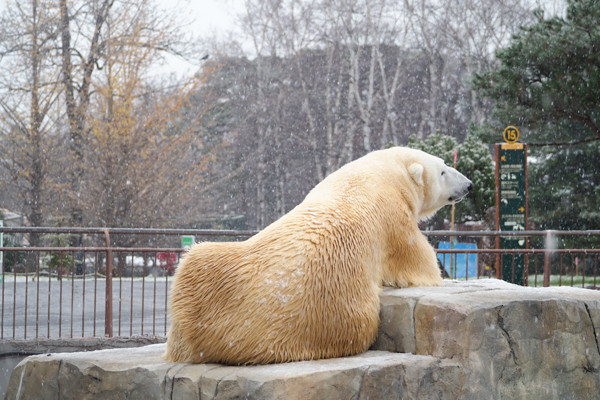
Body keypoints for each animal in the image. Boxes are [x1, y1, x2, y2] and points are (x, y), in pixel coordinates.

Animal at [165, 148, 474, 366]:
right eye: (443, 170)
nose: (469, 184)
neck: (384, 173)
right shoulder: (394, 217)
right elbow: (416, 259)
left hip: (204, 269)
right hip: (331, 300)